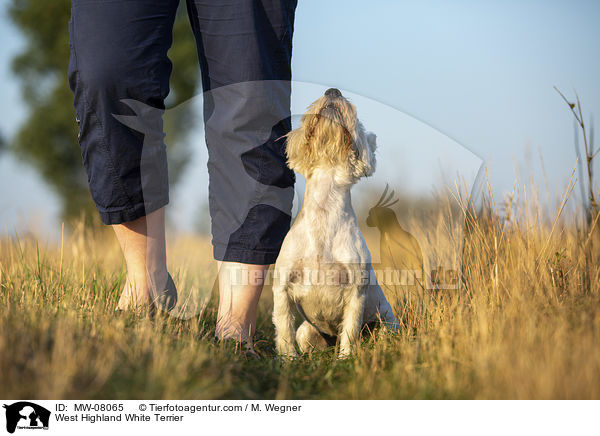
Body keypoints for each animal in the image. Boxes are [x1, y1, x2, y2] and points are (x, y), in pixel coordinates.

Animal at [274, 87, 400, 356]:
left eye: (359, 123)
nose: (333, 91)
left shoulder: (356, 292)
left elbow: (350, 330)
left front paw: (345, 359)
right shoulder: (282, 288)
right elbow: (284, 328)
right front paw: (288, 359)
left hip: (386, 326)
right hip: (306, 332)